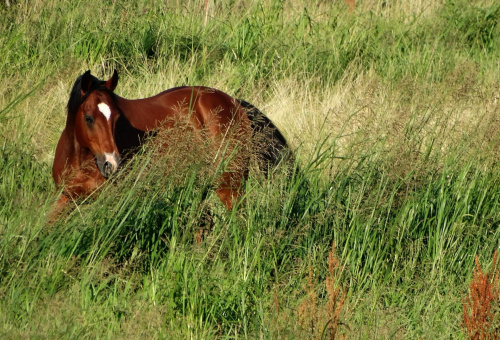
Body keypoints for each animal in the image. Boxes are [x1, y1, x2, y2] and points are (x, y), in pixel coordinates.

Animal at [50, 70, 290, 218]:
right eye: (88, 118)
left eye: (117, 118)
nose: (112, 163)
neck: (80, 159)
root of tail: (235, 104)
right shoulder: (66, 196)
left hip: (229, 185)